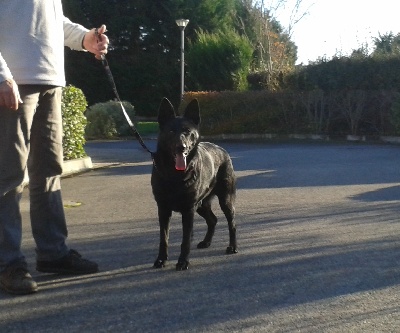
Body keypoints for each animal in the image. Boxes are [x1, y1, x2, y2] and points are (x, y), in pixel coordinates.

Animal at [151, 98, 238, 270]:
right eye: (171, 131)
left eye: (187, 131)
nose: (181, 147)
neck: (174, 175)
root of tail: (222, 150)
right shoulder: (163, 209)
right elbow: (163, 238)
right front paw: (161, 259)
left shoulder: (188, 210)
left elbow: (185, 240)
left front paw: (183, 261)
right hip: (201, 205)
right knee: (213, 220)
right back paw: (206, 241)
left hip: (225, 200)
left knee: (232, 223)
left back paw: (232, 246)